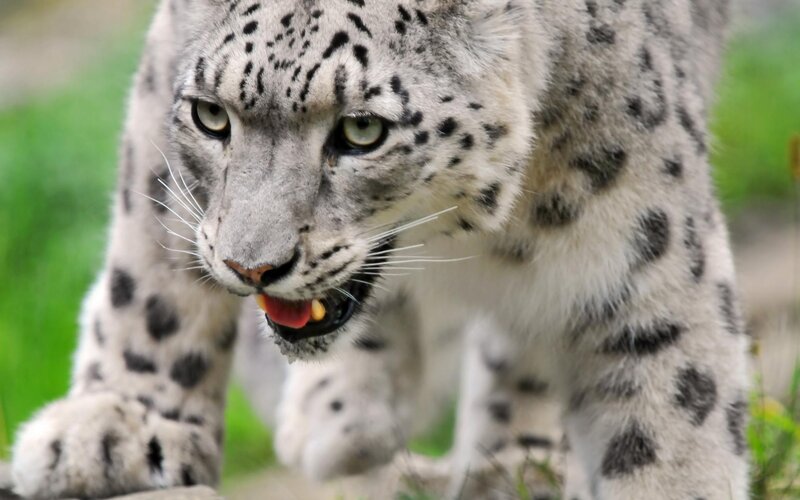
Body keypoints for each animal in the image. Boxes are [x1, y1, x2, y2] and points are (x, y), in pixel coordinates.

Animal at [11, 0, 749, 498]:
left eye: (362, 130)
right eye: (211, 116)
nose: (253, 268)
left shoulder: (646, 259)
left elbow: (672, 415)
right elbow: (154, 265)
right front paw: (113, 430)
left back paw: (515, 461)